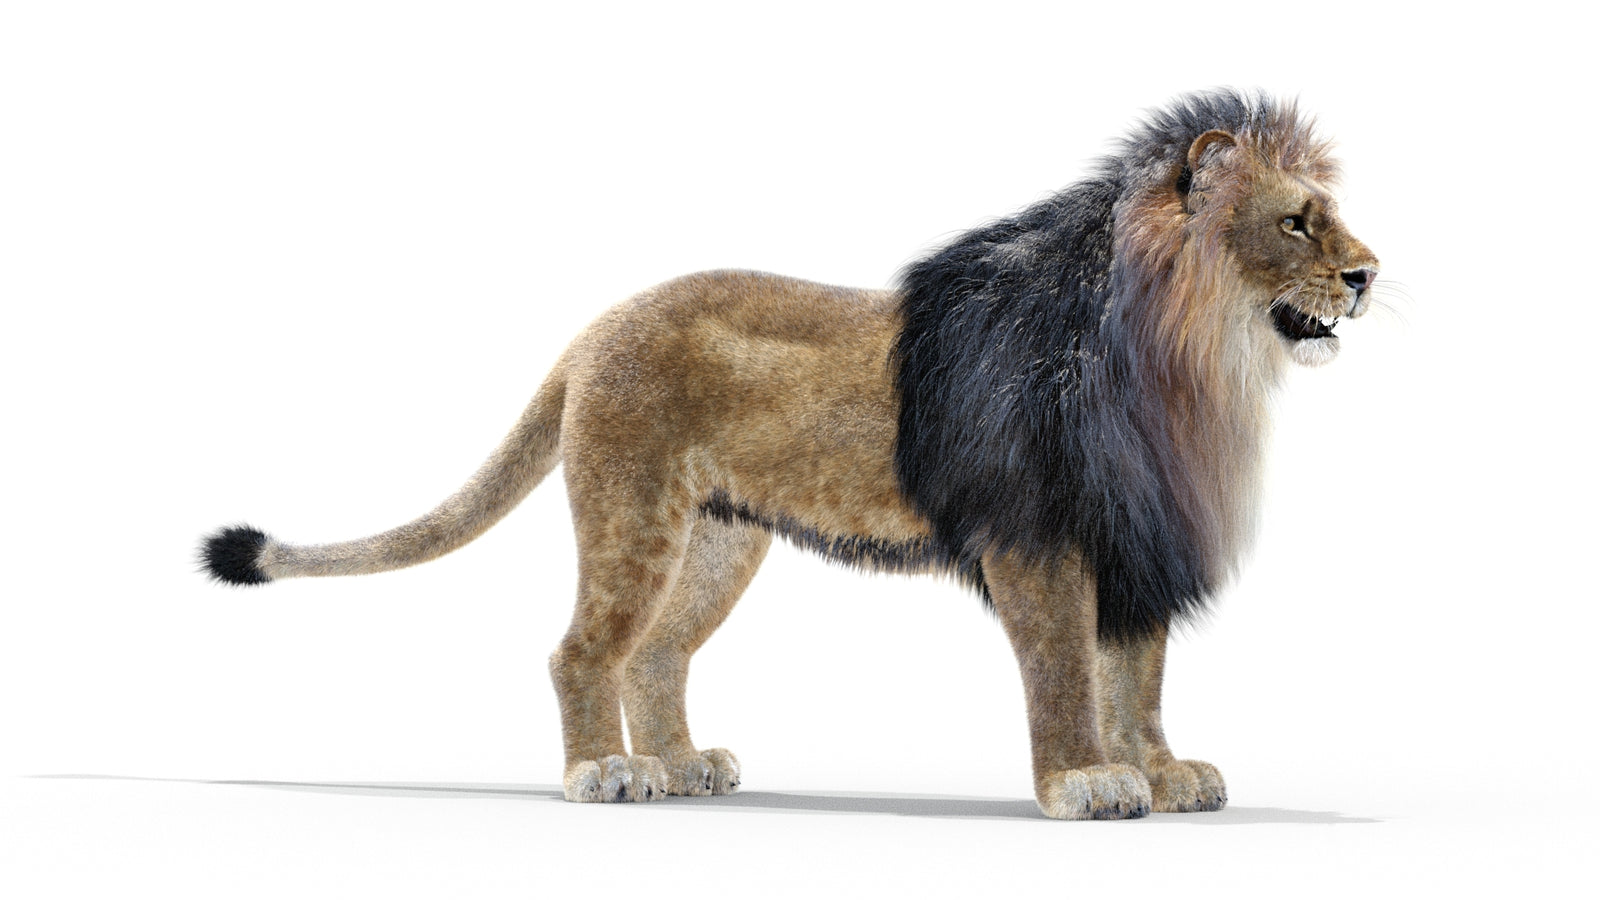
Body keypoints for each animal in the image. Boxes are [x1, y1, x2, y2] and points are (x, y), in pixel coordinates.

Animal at [201, 89, 1379, 820]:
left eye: (1327, 216)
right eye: (1296, 222)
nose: (1369, 274)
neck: (1192, 367)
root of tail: (593, 329)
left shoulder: (1136, 535)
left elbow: (1136, 679)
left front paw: (1163, 774)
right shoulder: (1036, 539)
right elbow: (1063, 676)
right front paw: (1085, 784)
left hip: (720, 540)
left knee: (655, 654)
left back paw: (680, 765)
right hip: (633, 515)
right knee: (583, 650)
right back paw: (603, 771)